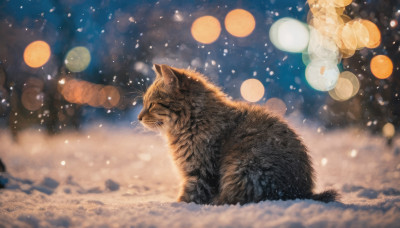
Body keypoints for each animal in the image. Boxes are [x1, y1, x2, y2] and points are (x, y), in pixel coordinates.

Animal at [138, 64, 338, 205]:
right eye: (144, 102)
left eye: (152, 104)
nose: (139, 117)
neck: (193, 121)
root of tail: (301, 193)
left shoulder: (200, 173)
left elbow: (188, 198)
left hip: (246, 167)